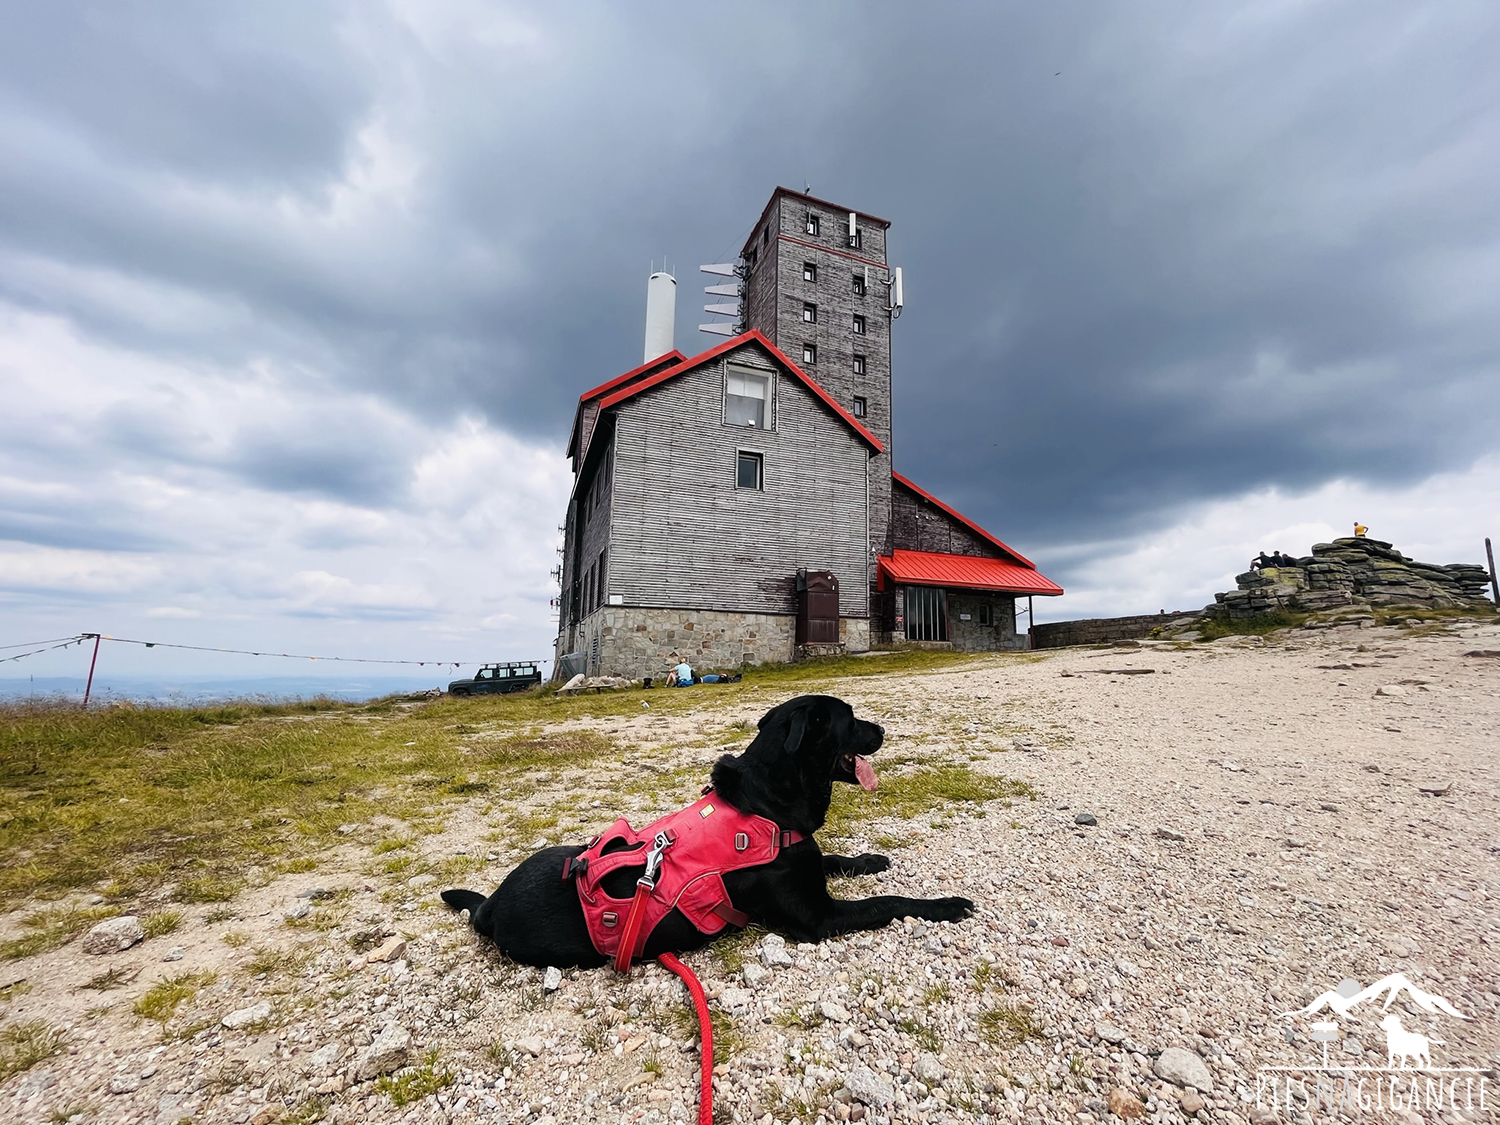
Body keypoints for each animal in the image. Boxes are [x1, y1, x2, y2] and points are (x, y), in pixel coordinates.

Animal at [441, 696, 984, 972]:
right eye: (850, 721)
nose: (884, 731)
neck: (767, 805)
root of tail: (491, 904)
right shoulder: (816, 918)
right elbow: (888, 902)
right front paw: (946, 905)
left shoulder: (805, 859)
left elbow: (833, 858)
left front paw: (870, 859)